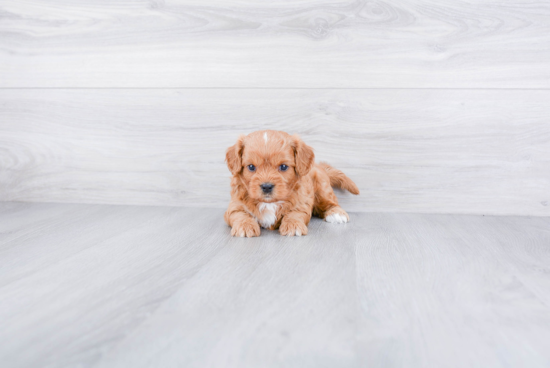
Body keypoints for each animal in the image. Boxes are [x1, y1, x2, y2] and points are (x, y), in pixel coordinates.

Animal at [225, 131, 362, 237]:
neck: (269, 203)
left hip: (322, 187)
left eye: (283, 166)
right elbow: (239, 214)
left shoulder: (301, 202)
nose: (267, 186)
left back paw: (336, 213)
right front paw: (244, 226)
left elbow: (295, 213)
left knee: (331, 202)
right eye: (251, 167)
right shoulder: (234, 205)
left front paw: (293, 225)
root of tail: (318, 166)